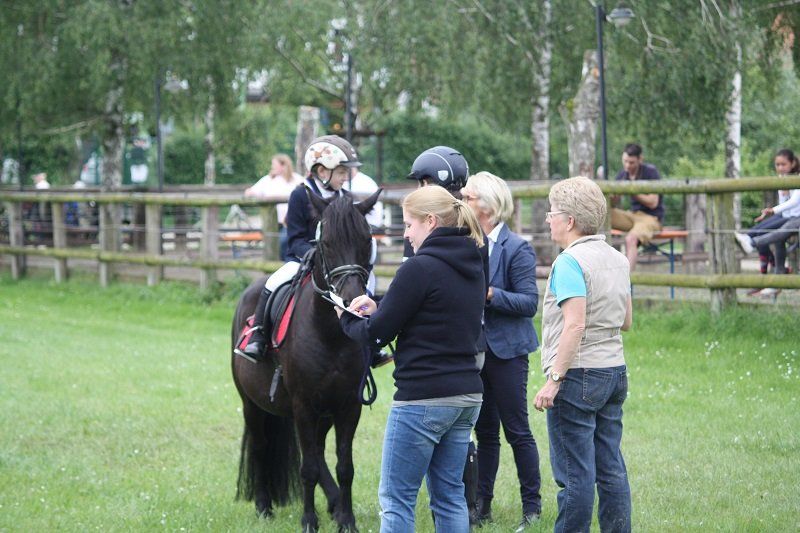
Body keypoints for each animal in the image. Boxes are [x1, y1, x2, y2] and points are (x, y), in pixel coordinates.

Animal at [231, 189, 382, 532]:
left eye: (367, 239)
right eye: (325, 243)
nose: (352, 301)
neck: (331, 334)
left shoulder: (348, 406)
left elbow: (344, 466)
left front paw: (347, 520)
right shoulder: (303, 405)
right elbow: (308, 468)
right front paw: (309, 520)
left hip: (322, 413)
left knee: (318, 453)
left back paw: (335, 503)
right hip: (252, 404)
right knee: (262, 446)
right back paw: (264, 505)